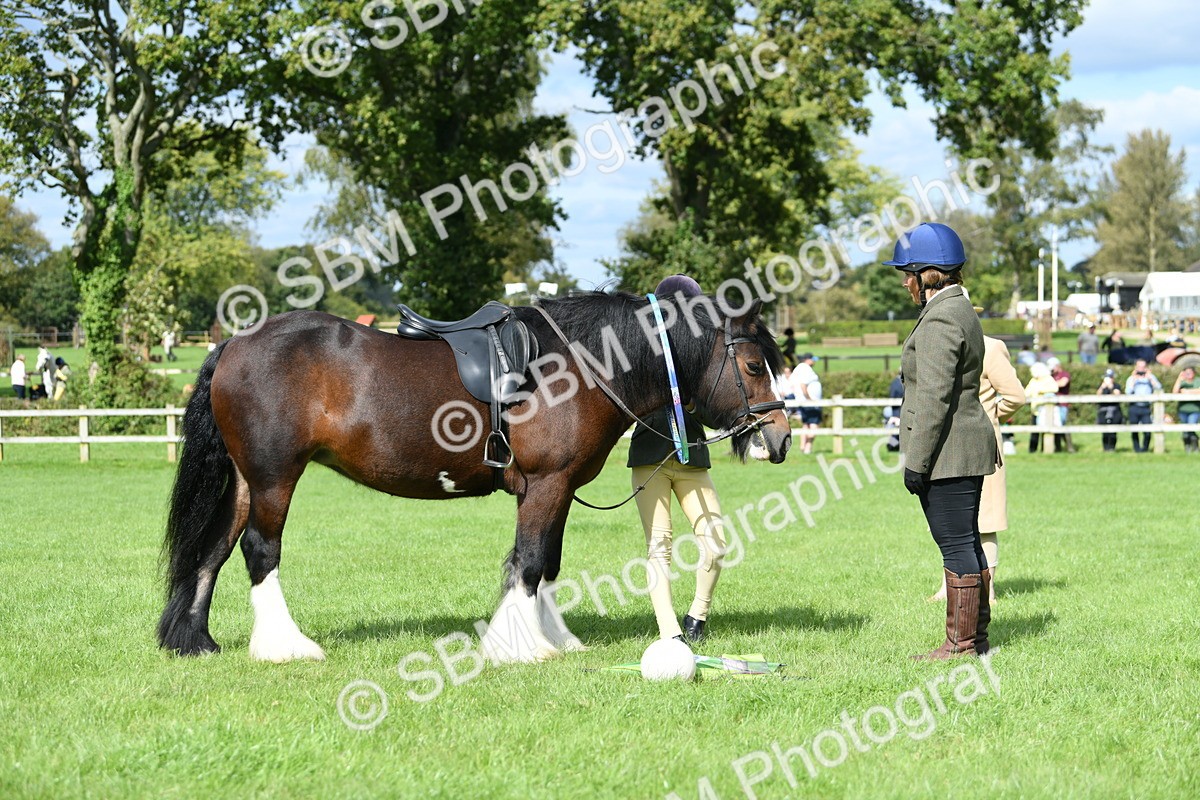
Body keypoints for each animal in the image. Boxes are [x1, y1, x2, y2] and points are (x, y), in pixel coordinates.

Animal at [157, 291, 791, 663]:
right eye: (753, 365)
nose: (779, 438)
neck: (580, 364)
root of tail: (234, 343)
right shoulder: (546, 484)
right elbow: (529, 562)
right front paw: (520, 646)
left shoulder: (558, 488)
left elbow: (548, 562)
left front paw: (555, 638)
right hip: (274, 477)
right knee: (260, 550)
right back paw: (286, 646)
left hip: (246, 480)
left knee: (213, 550)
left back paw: (196, 641)